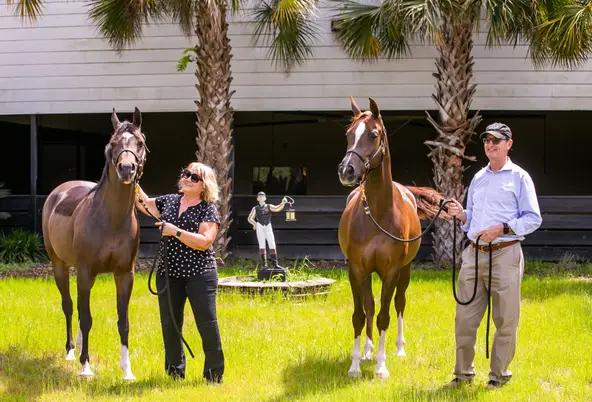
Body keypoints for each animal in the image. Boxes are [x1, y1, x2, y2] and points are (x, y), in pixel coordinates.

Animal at [42, 107, 148, 380]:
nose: (126, 169)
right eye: (113, 143)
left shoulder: (125, 274)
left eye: (140, 142)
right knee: (70, 307)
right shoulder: (85, 270)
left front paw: (127, 371)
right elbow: (86, 317)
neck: (111, 219)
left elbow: (123, 322)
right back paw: (71, 351)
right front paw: (86, 366)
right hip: (60, 266)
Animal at [338, 96, 448, 378]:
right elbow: (360, 314)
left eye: (373, 134)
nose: (347, 170)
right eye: (348, 134)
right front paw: (355, 365)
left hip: (405, 271)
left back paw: (398, 348)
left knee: (399, 304)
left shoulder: (391, 272)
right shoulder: (356, 269)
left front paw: (381, 366)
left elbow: (385, 316)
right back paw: (367, 350)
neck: (378, 214)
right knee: (369, 306)